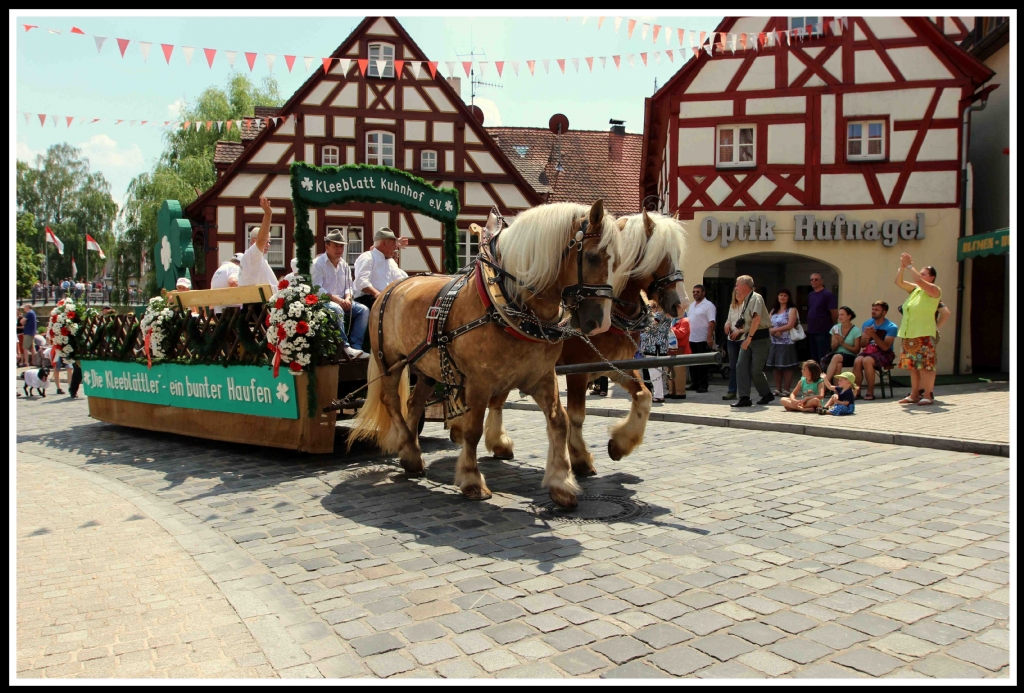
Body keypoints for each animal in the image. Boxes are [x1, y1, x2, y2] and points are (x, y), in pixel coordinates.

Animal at [348, 199, 618, 507]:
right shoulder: (479, 382)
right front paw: (471, 479)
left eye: (617, 261)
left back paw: (410, 454)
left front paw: (561, 482)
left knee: (413, 405)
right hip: (390, 362)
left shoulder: (542, 377)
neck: (509, 305)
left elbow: (558, 421)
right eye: (593, 257)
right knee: (391, 401)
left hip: (427, 368)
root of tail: (392, 287)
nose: (601, 322)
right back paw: (410, 451)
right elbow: (472, 429)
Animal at [468, 210, 692, 474]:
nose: (682, 303)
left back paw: (498, 442)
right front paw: (580, 458)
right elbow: (576, 415)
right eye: (660, 255)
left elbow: (644, 396)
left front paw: (620, 444)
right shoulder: (578, 370)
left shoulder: (614, 365)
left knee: (498, 399)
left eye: (679, 254)